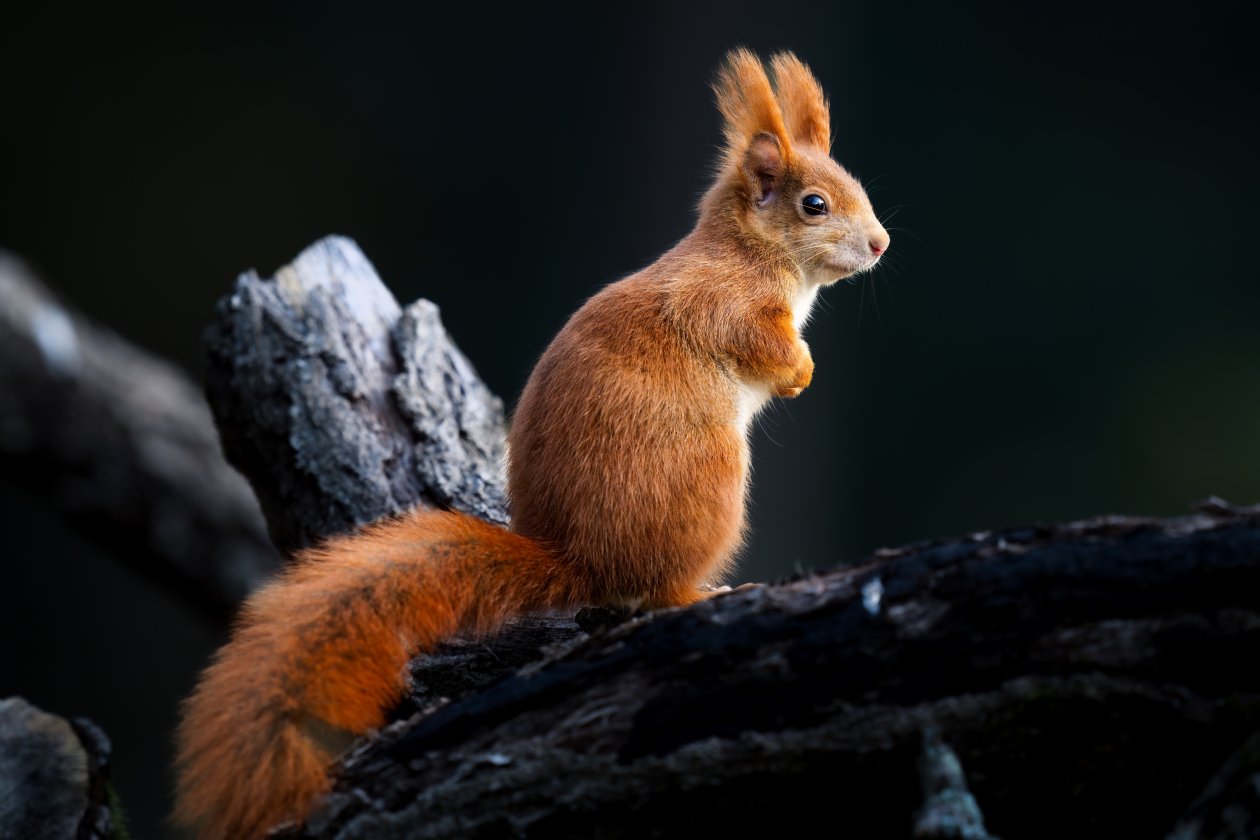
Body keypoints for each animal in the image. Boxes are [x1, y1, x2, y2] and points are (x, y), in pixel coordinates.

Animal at [174, 48, 889, 839]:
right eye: (813, 205)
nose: (882, 243)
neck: (755, 254)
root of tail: (577, 559)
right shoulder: (721, 302)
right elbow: (758, 343)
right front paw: (799, 370)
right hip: (708, 484)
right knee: (656, 591)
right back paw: (705, 592)